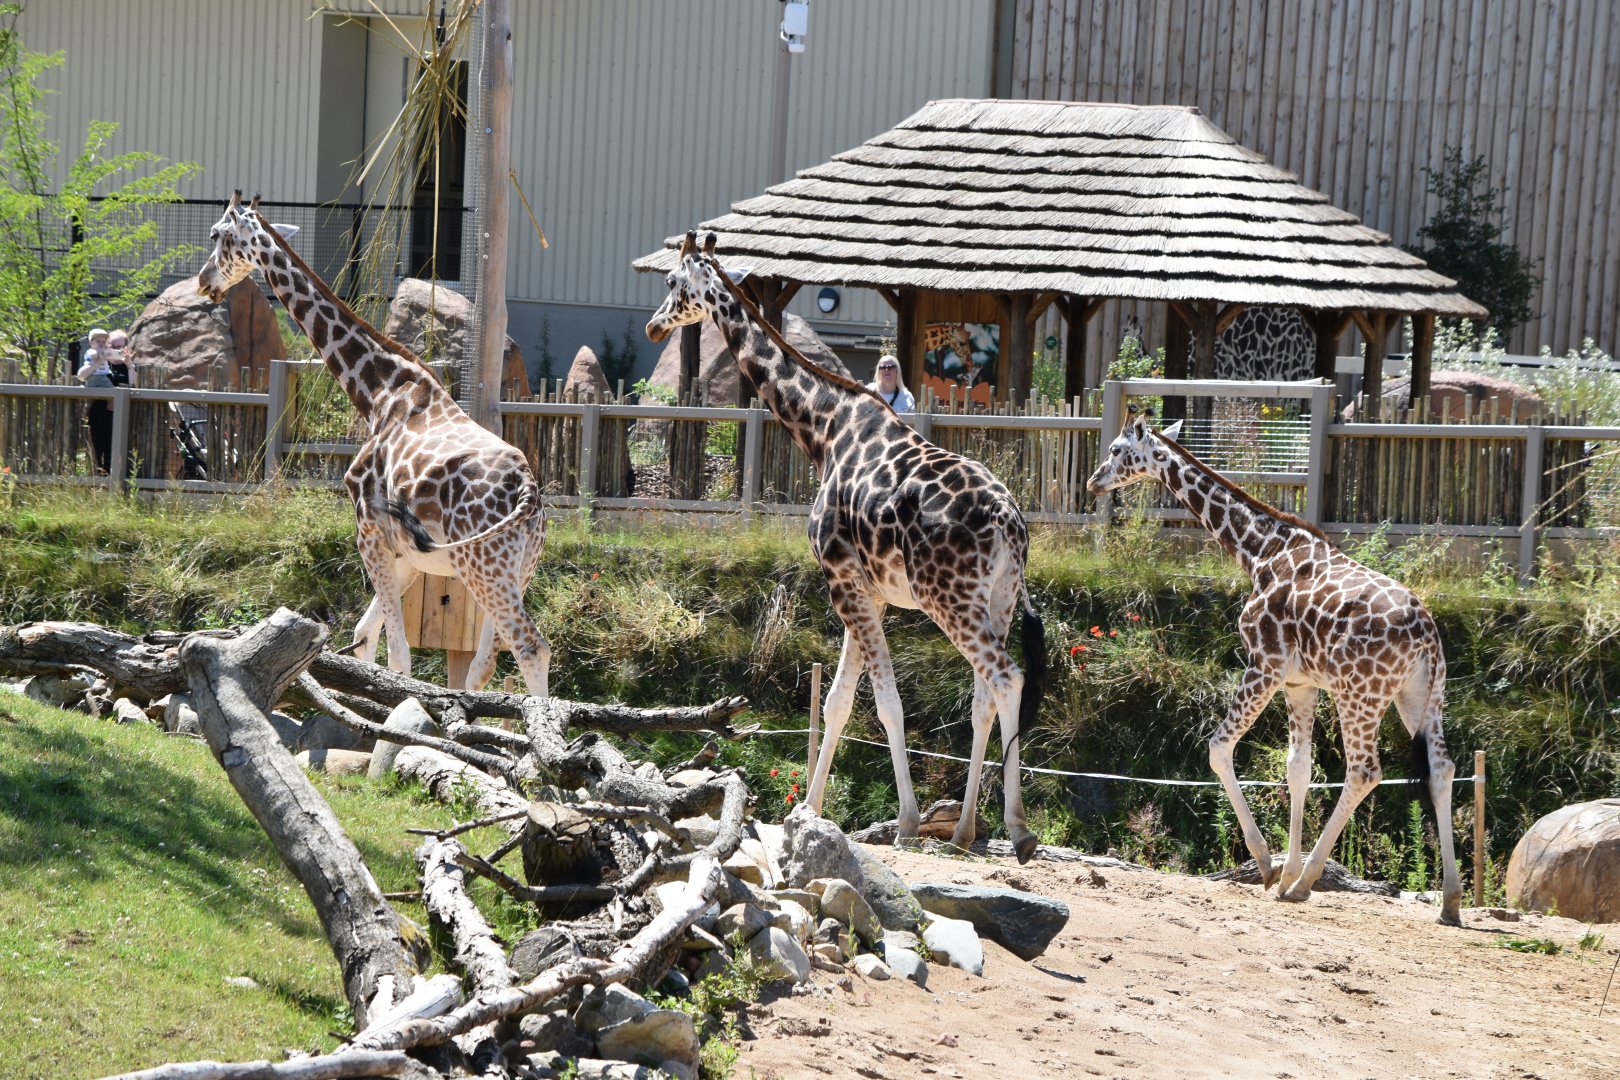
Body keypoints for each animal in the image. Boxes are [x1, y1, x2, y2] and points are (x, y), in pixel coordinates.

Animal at [198, 192, 552, 697]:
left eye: (217, 235)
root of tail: (528, 491)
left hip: (484, 565)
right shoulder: (406, 554)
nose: (204, 283)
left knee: (529, 647)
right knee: (487, 660)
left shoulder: (368, 530)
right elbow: (365, 635)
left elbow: (398, 656)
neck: (376, 392)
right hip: (517, 566)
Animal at [647, 231, 1045, 863]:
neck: (822, 430)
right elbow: (837, 700)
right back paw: (965, 830)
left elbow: (883, 701)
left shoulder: (839, 577)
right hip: (999, 600)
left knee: (1007, 679)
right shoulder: (870, 590)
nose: (654, 327)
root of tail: (1010, 522)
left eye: (670, 282)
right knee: (985, 696)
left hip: (949, 599)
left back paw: (1019, 829)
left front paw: (905, 820)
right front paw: (808, 810)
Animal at [1087, 409, 1462, 925]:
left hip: (1359, 694)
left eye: (1118, 450)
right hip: (1420, 696)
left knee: (1365, 771)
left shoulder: (1263, 665)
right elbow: (1297, 767)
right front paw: (1285, 870)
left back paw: (1307, 883)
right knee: (1441, 769)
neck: (1259, 552)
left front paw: (1271, 867)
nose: (1093, 481)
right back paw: (1450, 901)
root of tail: (1427, 633)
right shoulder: (1300, 683)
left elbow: (1218, 748)